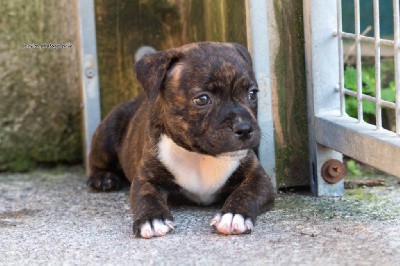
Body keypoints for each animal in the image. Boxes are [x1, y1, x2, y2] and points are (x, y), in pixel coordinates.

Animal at [87, 42, 276, 239]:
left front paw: (233, 215)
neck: (201, 156)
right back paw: (103, 178)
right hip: (108, 131)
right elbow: (147, 197)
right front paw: (152, 219)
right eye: (202, 99)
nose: (244, 128)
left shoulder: (258, 177)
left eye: (252, 93)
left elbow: (247, 193)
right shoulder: (146, 179)